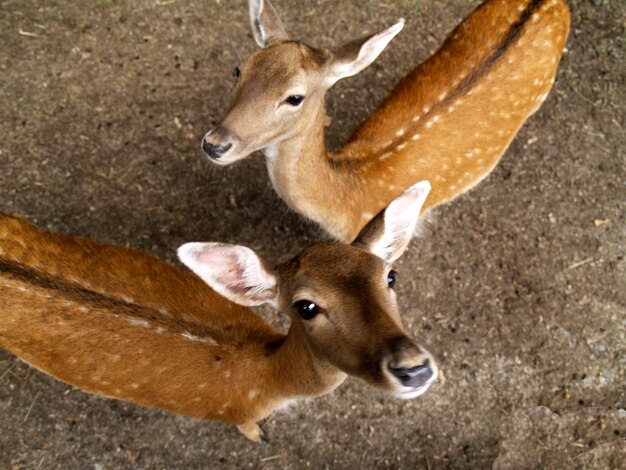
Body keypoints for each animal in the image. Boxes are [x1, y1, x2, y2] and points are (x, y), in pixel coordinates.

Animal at [0, 180, 436, 440]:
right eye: (306, 306)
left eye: (390, 276)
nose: (414, 369)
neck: (265, 381)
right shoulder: (231, 411)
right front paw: (257, 435)